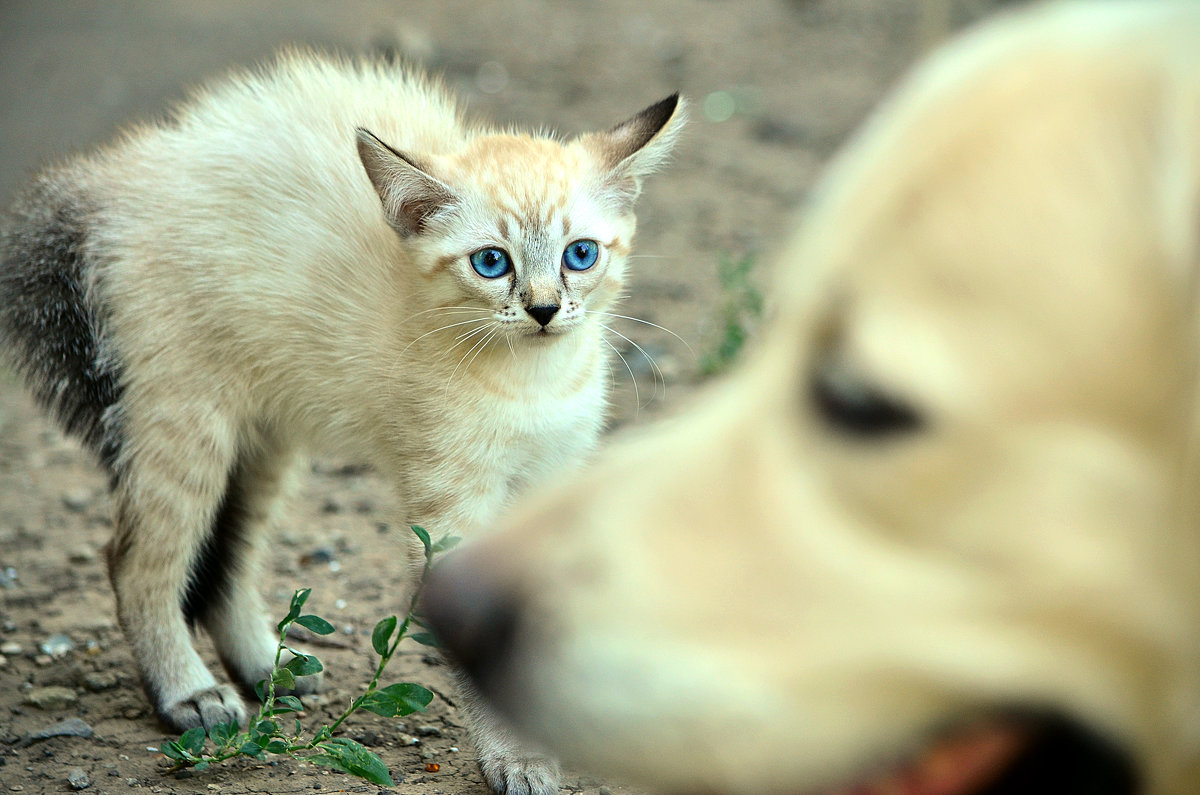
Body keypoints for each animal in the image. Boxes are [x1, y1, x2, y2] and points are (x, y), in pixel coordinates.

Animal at [0, 51, 681, 795]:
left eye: (580, 254)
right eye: (491, 262)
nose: (544, 309)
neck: (535, 383)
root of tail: (117, 177)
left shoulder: (553, 481)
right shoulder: (451, 509)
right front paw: (516, 756)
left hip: (264, 437)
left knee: (225, 561)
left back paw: (268, 670)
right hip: (188, 425)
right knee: (135, 561)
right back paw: (190, 692)